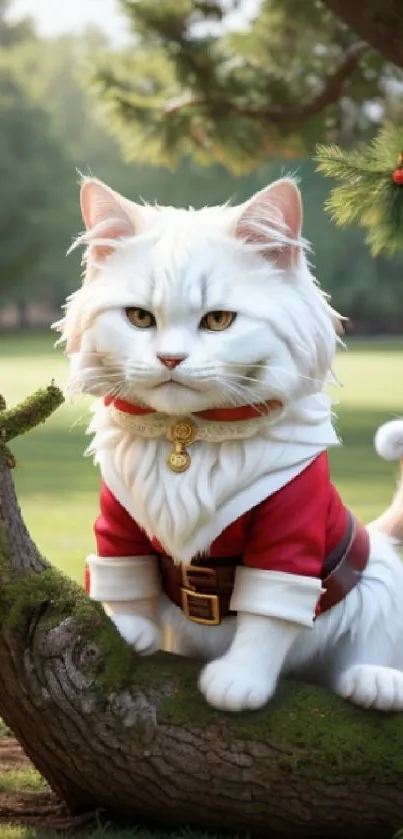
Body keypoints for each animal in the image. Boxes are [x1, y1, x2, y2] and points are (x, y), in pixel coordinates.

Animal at [57, 177, 403, 716]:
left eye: (218, 321)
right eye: (139, 318)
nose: (170, 358)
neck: (188, 435)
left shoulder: (290, 531)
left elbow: (268, 615)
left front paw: (239, 682)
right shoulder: (118, 516)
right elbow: (124, 577)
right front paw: (130, 628)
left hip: (377, 585)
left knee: (369, 649)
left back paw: (375, 682)